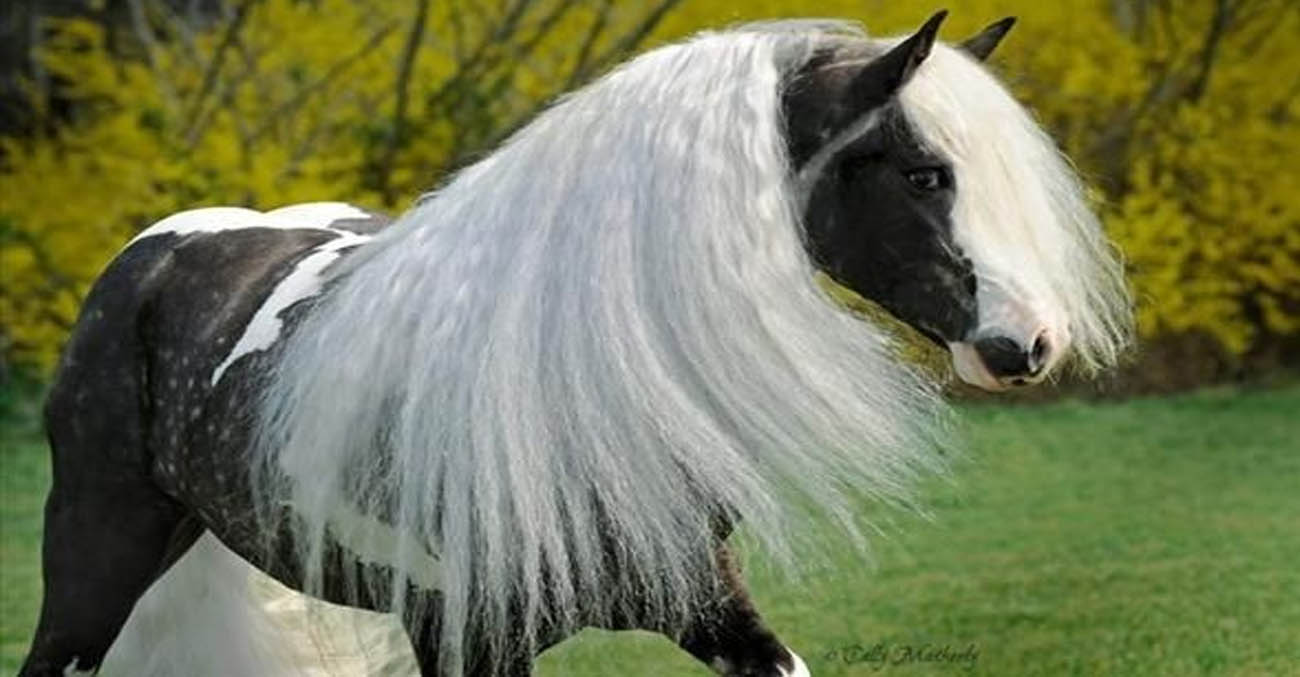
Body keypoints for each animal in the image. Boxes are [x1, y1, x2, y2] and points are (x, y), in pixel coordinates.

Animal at [25, 11, 1133, 675]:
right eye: (921, 173)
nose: (1030, 340)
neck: (567, 384)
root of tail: (156, 255)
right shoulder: (461, 636)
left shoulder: (704, 601)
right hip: (93, 563)